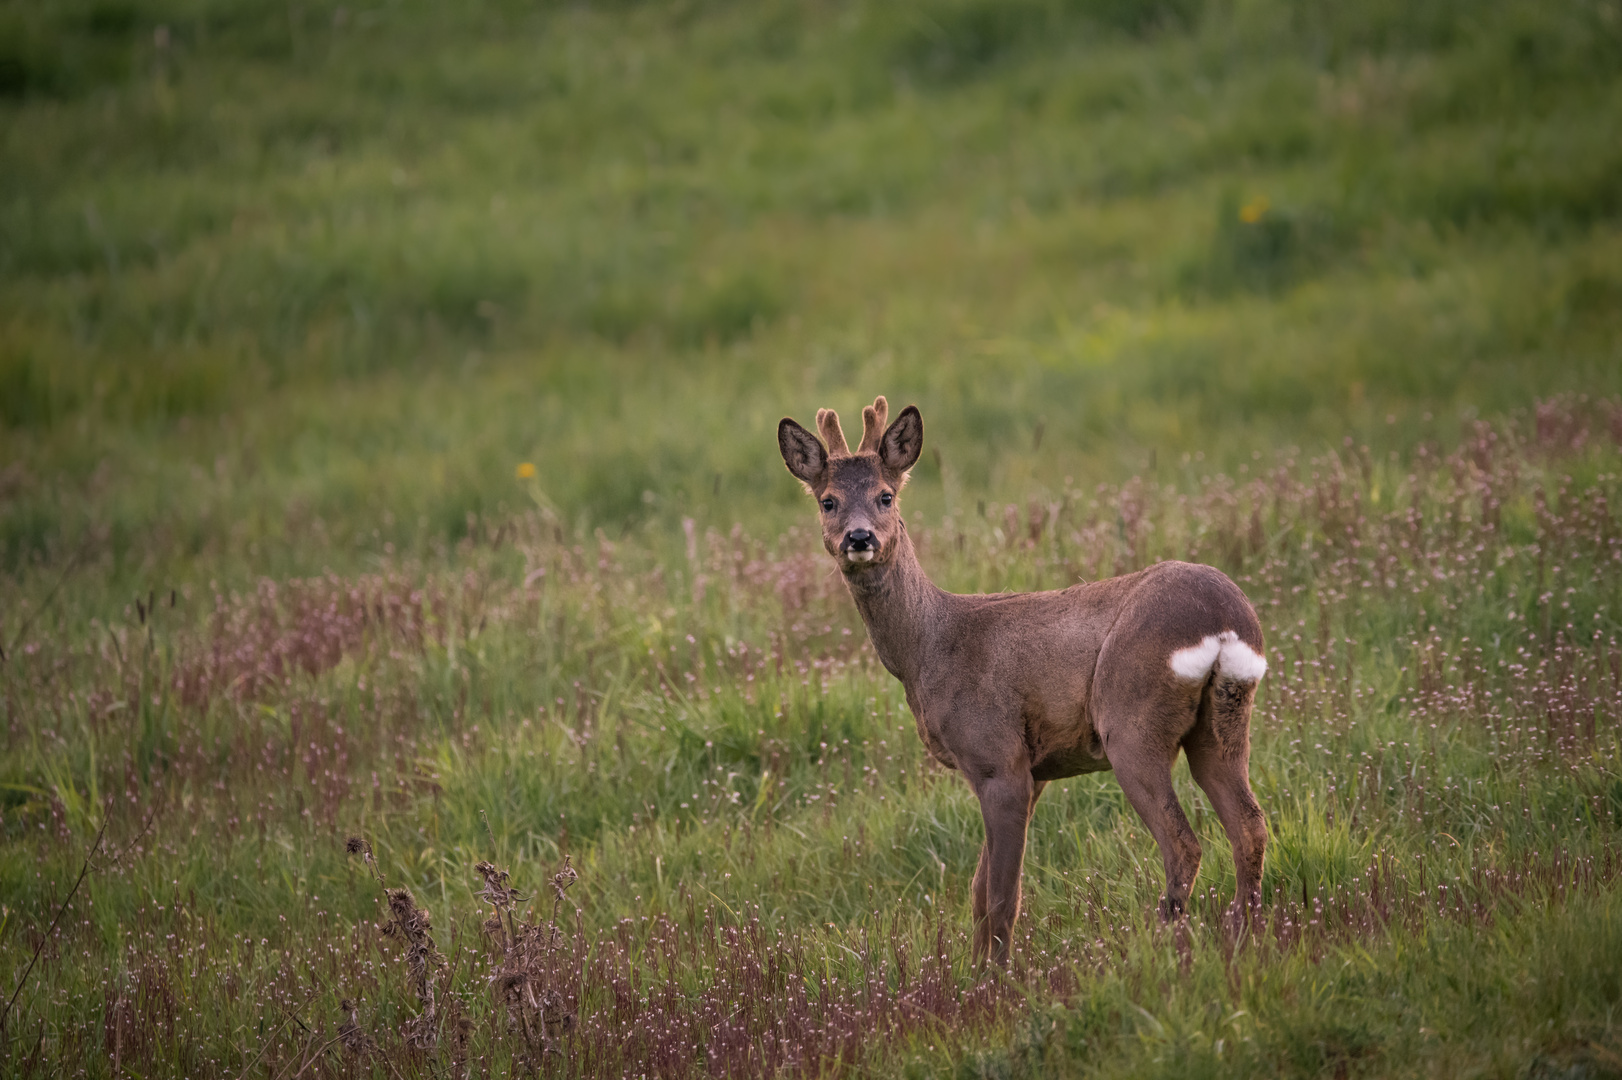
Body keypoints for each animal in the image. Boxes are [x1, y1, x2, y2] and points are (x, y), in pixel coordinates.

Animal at [778, 397, 1271, 966]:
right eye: (828, 501)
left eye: (886, 494)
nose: (860, 538)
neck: (930, 649)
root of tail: (1224, 622)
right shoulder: (1030, 771)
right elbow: (979, 890)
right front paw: (971, 973)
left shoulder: (999, 757)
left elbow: (1000, 896)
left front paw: (997, 977)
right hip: (1223, 723)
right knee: (1250, 827)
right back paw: (1242, 939)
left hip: (1131, 721)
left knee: (1184, 844)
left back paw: (1165, 951)